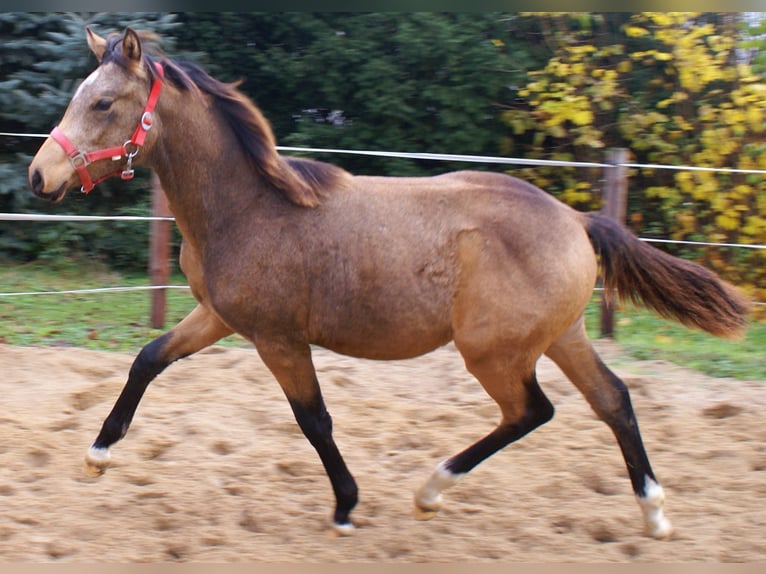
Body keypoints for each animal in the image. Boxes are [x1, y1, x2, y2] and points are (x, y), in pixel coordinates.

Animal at [28, 27, 752, 540]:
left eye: (103, 102)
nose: (40, 175)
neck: (249, 208)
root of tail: (575, 218)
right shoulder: (220, 318)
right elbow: (147, 360)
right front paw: (97, 454)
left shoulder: (277, 338)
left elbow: (314, 419)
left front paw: (347, 506)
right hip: (559, 335)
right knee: (614, 400)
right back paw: (654, 514)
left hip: (494, 351)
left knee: (533, 411)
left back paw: (430, 490)